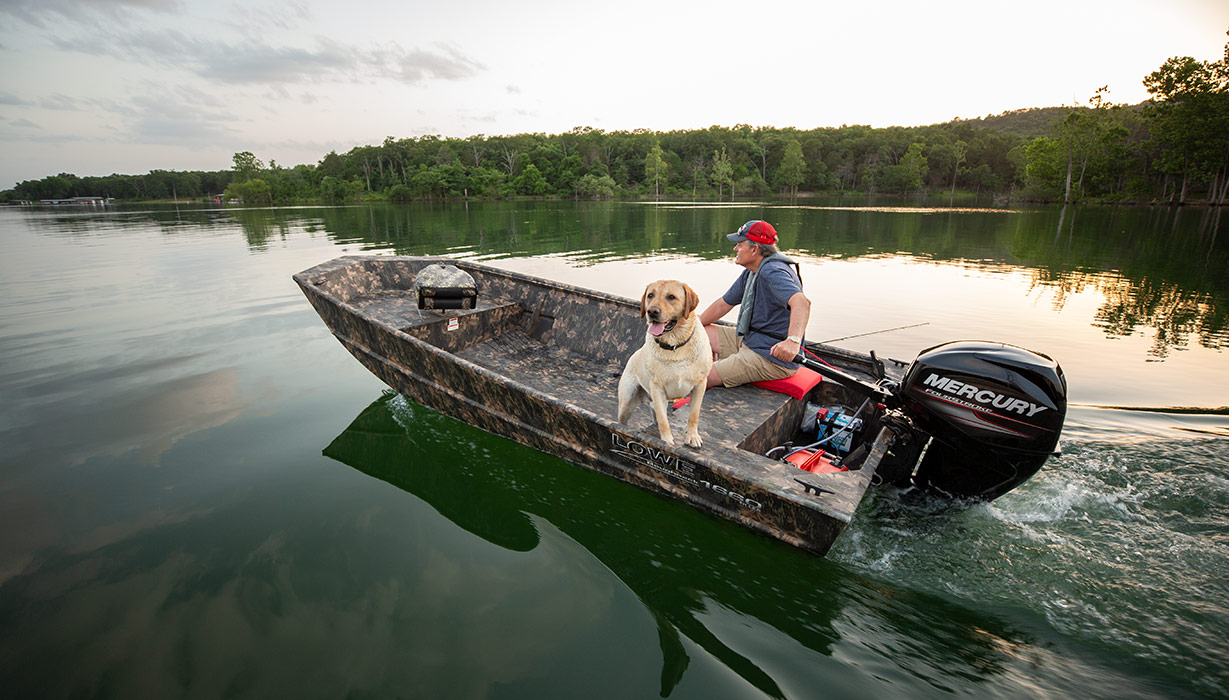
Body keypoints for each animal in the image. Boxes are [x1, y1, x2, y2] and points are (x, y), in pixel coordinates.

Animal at [619, 278, 717, 447]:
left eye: (671, 297)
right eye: (650, 295)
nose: (652, 311)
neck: (675, 346)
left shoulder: (700, 385)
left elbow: (694, 415)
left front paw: (692, 437)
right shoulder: (657, 388)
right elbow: (663, 421)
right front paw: (666, 442)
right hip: (627, 401)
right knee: (623, 421)